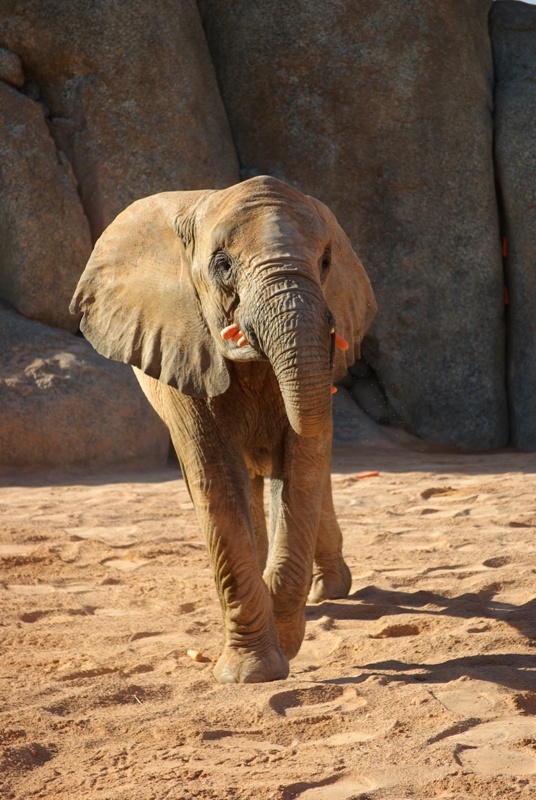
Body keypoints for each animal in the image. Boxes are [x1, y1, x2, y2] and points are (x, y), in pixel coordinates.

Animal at [71, 178, 376, 684]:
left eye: (326, 262)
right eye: (222, 265)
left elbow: (302, 468)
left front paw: (284, 640)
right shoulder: (179, 349)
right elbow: (216, 480)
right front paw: (252, 673)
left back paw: (327, 591)